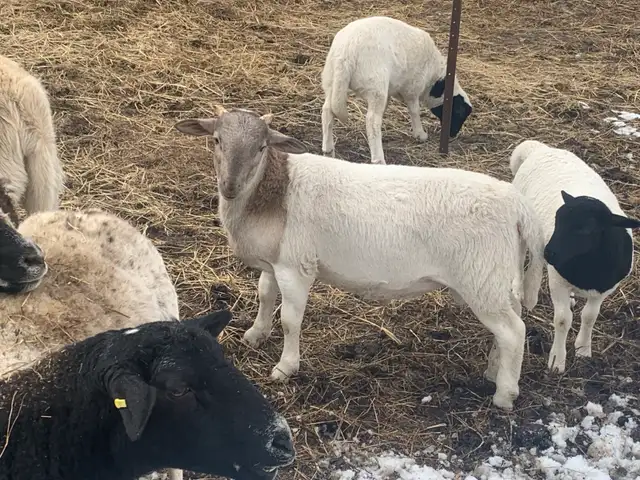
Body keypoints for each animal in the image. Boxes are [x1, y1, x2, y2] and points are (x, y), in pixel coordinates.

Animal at [174, 106, 544, 411]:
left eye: (262, 147)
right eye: (217, 140)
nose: (230, 186)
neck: (273, 192)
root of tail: (516, 204)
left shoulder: (296, 266)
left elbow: (290, 320)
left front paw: (285, 367)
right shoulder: (274, 260)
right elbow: (265, 296)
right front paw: (254, 335)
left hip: (481, 277)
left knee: (513, 331)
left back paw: (505, 394)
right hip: (495, 278)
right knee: (508, 326)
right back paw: (494, 371)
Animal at [320, 16, 473, 164]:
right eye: (458, 112)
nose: (453, 134)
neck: (435, 81)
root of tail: (345, 53)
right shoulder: (412, 89)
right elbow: (414, 111)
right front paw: (420, 134)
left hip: (332, 82)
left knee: (327, 110)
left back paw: (328, 150)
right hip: (375, 88)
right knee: (372, 121)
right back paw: (379, 159)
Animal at [510, 139, 640, 373]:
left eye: (585, 229)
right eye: (557, 219)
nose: (548, 252)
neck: (587, 269)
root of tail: (539, 149)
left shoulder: (602, 290)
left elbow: (589, 317)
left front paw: (583, 349)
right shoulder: (557, 281)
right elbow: (563, 320)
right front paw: (557, 361)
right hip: (521, 224)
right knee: (519, 255)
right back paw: (517, 288)